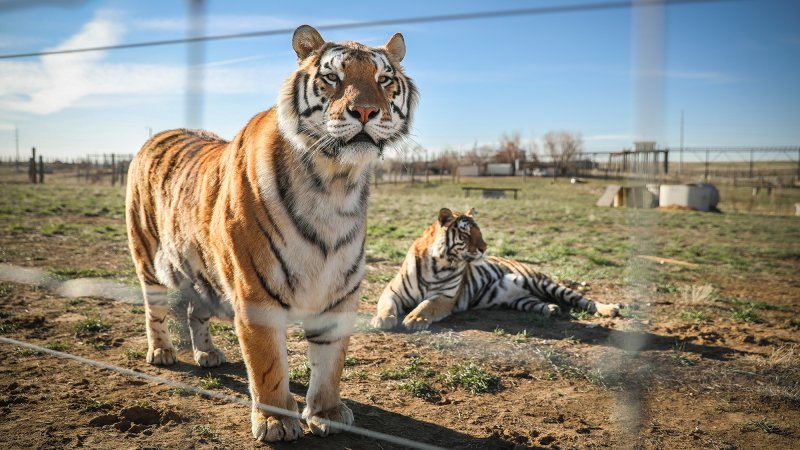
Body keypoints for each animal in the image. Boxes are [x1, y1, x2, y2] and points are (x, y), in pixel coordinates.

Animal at [125, 25, 418, 442]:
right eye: (333, 77)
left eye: (384, 80)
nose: (365, 111)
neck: (335, 182)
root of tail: (158, 134)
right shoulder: (255, 292)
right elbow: (267, 364)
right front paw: (277, 421)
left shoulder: (340, 292)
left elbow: (330, 362)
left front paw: (326, 413)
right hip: (147, 254)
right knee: (155, 308)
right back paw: (162, 352)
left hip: (201, 268)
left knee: (196, 310)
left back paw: (207, 354)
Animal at [372, 208, 620, 330]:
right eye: (466, 234)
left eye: (479, 232)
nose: (484, 248)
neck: (437, 263)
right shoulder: (392, 291)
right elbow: (386, 305)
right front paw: (382, 319)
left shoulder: (446, 297)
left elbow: (426, 305)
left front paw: (415, 319)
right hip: (521, 299)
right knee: (538, 302)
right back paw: (552, 309)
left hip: (543, 282)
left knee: (584, 300)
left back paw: (609, 309)